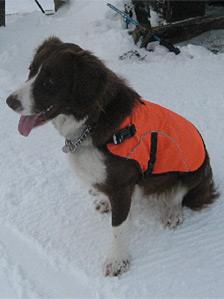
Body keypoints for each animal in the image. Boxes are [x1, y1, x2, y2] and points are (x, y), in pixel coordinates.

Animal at [6, 38, 218, 278]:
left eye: (49, 81)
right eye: (31, 71)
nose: (9, 101)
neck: (92, 120)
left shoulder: (121, 185)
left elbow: (118, 228)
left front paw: (117, 260)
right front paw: (105, 201)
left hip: (194, 171)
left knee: (177, 195)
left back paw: (172, 212)